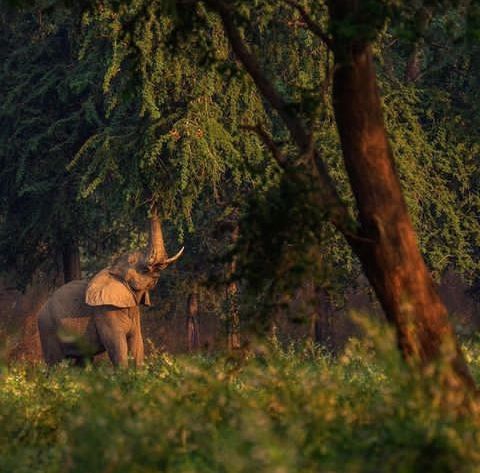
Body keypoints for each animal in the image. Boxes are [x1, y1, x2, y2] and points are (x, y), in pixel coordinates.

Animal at [37, 207, 184, 368]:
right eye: (134, 262)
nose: (152, 205)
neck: (113, 271)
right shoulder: (105, 311)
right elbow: (117, 345)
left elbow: (137, 343)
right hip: (48, 329)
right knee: (55, 363)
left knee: (83, 360)